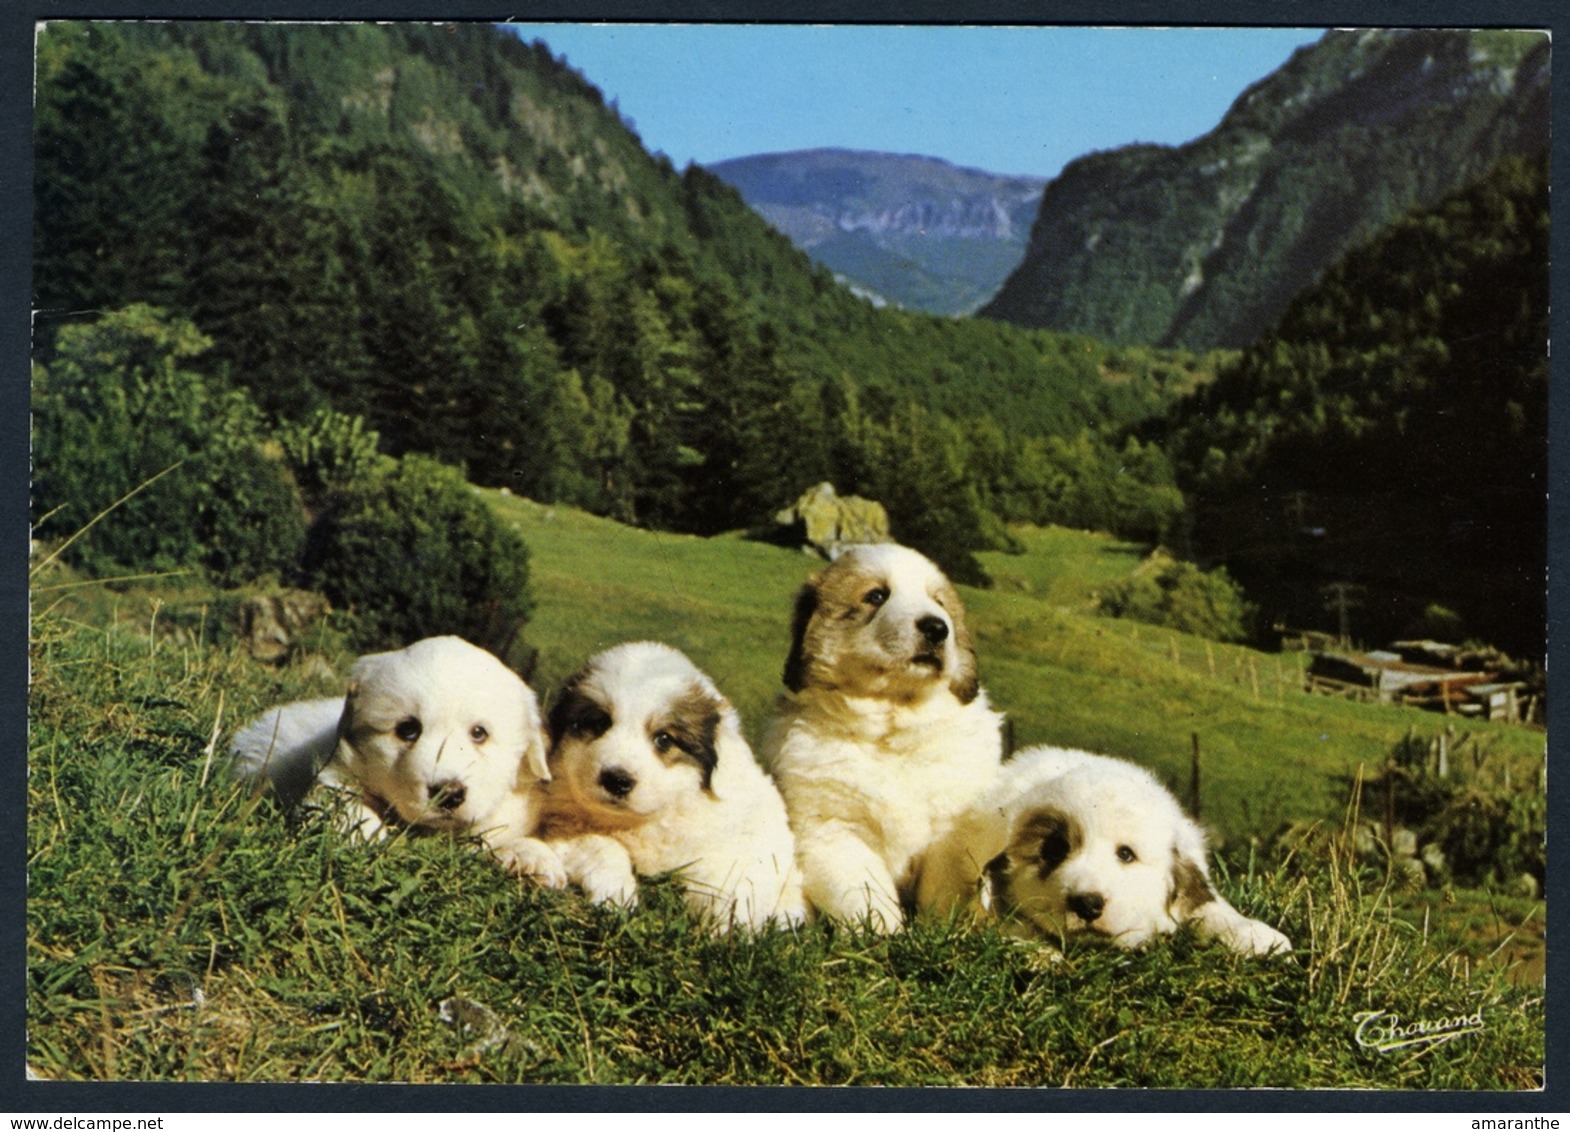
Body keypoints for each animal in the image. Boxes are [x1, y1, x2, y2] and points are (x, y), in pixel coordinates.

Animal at [229, 634, 574, 885]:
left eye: (479, 733)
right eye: (407, 729)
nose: (448, 793)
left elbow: (499, 836)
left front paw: (534, 857)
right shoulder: (335, 778)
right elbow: (350, 811)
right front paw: (371, 837)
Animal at [536, 640, 810, 929]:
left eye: (664, 739)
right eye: (600, 723)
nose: (616, 780)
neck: (644, 821)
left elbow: (724, 878)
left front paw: (723, 927)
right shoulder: (564, 827)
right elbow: (603, 847)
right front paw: (615, 895)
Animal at [763, 543, 1004, 929]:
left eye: (938, 602)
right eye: (876, 596)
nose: (937, 627)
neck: (892, 731)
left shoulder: (952, 832)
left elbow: (946, 887)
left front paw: (947, 930)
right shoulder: (834, 830)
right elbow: (866, 892)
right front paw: (885, 933)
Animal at [916, 747, 1293, 960]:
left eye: (1126, 855)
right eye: (1055, 851)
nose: (1087, 904)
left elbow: (1210, 907)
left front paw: (1257, 936)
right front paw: (1040, 953)